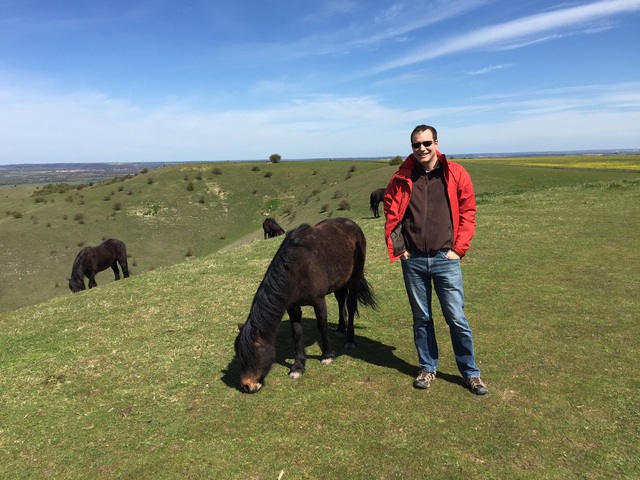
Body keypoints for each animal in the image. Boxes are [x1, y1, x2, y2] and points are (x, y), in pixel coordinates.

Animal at [234, 218, 376, 394]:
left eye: (252, 356)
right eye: (239, 356)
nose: (246, 386)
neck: (297, 270)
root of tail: (351, 223)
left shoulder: (319, 301)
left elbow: (322, 326)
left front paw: (327, 355)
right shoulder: (292, 308)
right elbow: (297, 333)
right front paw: (298, 367)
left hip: (355, 276)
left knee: (350, 303)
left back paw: (349, 338)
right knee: (340, 298)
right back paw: (340, 328)